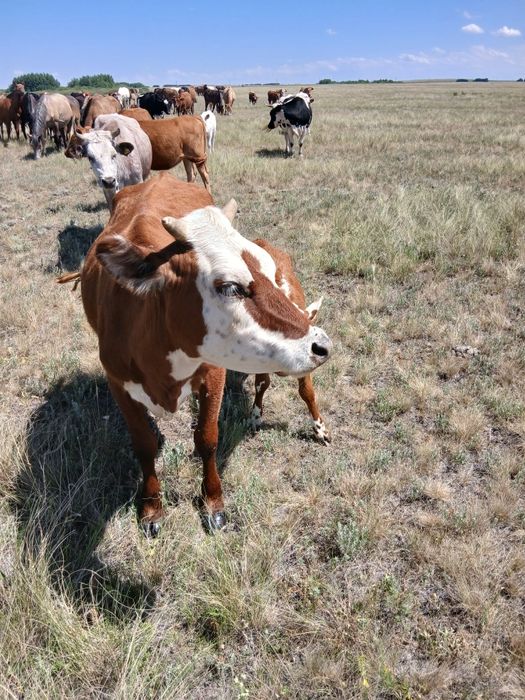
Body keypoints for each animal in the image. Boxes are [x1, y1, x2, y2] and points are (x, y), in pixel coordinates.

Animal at [58, 173, 332, 534]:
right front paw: (151, 507)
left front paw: (213, 501)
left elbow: (207, 438)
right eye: (230, 286)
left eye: (261, 266)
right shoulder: (118, 384)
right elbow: (144, 445)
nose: (322, 344)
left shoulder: (214, 373)